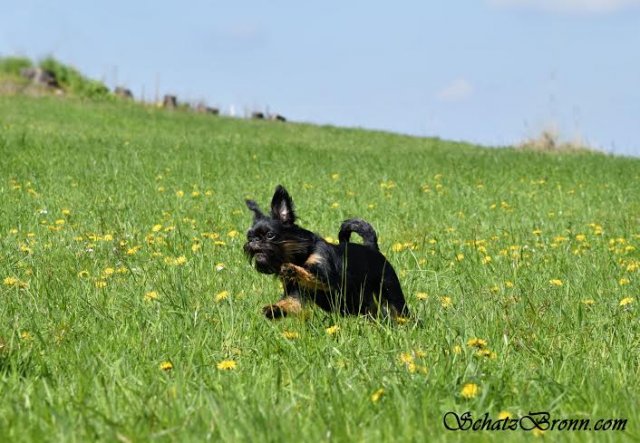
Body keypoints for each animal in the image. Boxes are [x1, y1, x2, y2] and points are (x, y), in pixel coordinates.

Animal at [242, 186, 408, 320]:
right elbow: (289, 302)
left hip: (391, 292)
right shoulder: (295, 294)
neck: (300, 256)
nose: (254, 241)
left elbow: (311, 275)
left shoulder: (329, 280)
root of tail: (371, 247)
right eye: (249, 237)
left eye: (270, 235)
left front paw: (292, 269)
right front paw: (274, 309)